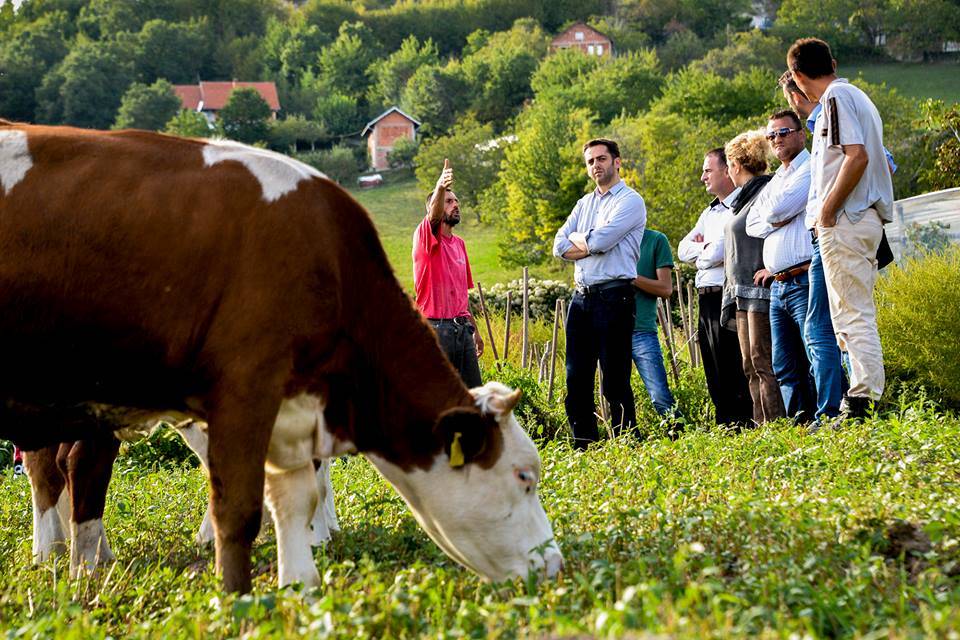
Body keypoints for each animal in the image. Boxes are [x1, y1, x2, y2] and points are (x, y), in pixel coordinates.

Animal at [0, 122, 560, 592]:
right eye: (524, 477)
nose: (554, 563)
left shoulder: (293, 405)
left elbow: (297, 493)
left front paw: (302, 580)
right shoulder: (245, 391)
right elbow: (239, 508)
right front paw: (239, 599)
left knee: (62, 466)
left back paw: (74, 558)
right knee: (70, 468)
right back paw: (70, 561)